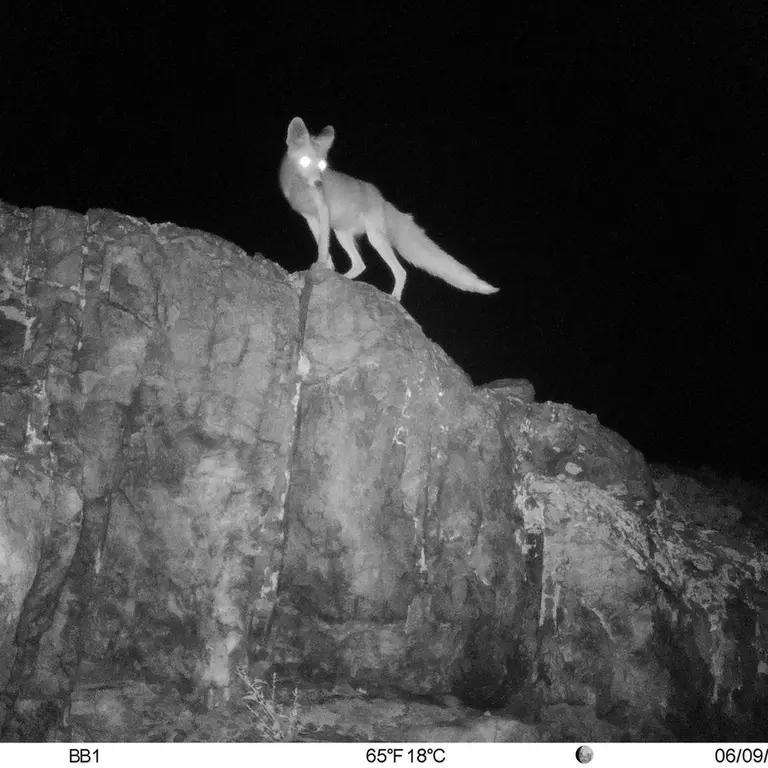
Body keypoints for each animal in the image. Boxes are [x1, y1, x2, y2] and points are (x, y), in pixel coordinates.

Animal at [279, 117, 499, 301]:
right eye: (306, 161)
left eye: (322, 165)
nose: (318, 184)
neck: (298, 187)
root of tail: (382, 199)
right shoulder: (311, 218)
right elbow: (323, 247)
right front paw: (325, 269)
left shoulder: (322, 211)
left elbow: (323, 248)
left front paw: (319, 269)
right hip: (343, 234)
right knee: (360, 265)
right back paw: (345, 279)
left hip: (375, 238)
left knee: (400, 271)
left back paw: (394, 298)